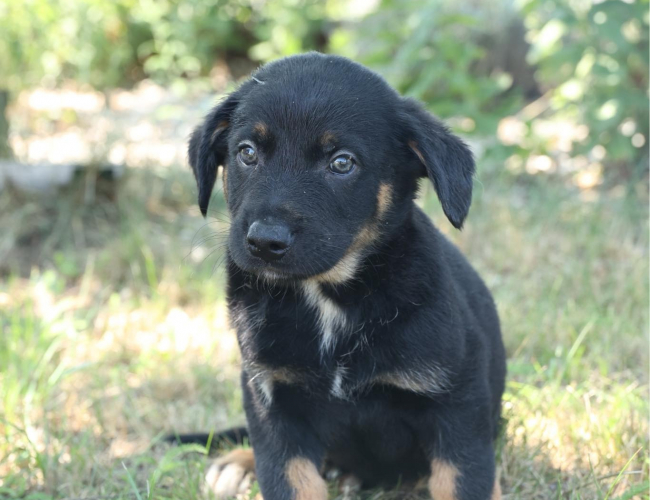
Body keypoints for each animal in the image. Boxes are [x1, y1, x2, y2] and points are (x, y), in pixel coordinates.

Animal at [182, 51, 506, 500]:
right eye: (246, 152)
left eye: (341, 163)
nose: (264, 241)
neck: (328, 300)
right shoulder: (271, 401)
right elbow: (287, 478)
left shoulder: (456, 401)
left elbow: (464, 480)